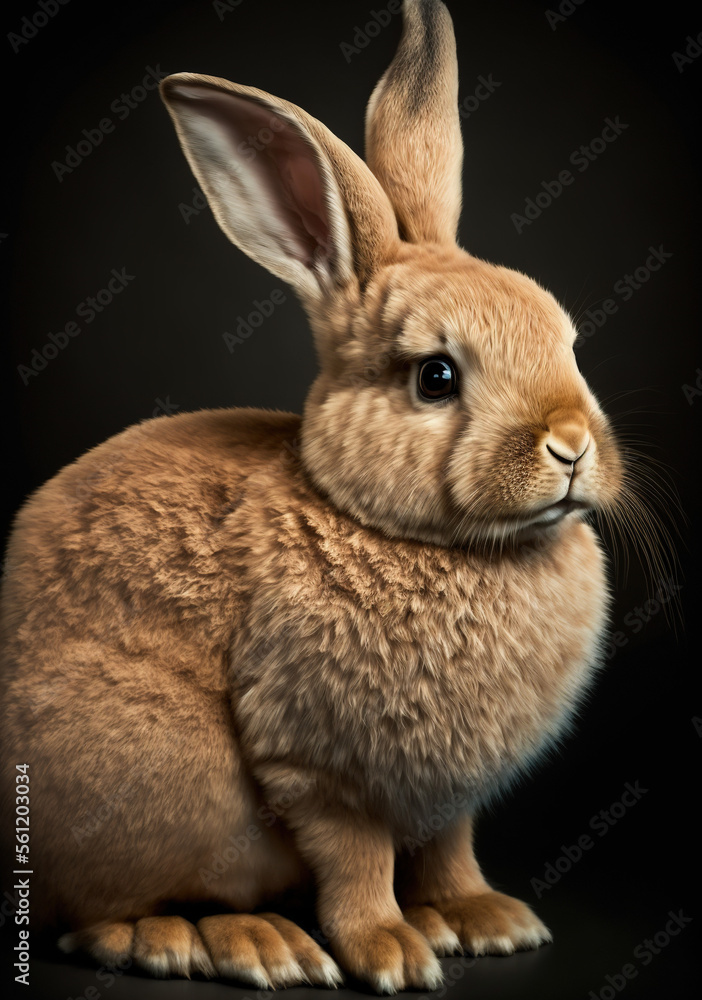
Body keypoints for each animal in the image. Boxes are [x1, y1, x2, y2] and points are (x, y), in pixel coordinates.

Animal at [0, 0, 625, 993]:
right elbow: (358, 861)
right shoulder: (315, 763)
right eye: (436, 377)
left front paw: (487, 922)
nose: (570, 445)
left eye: (567, 339)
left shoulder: (447, 795)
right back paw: (239, 943)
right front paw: (392, 952)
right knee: (89, 917)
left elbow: (449, 849)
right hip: (161, 774)